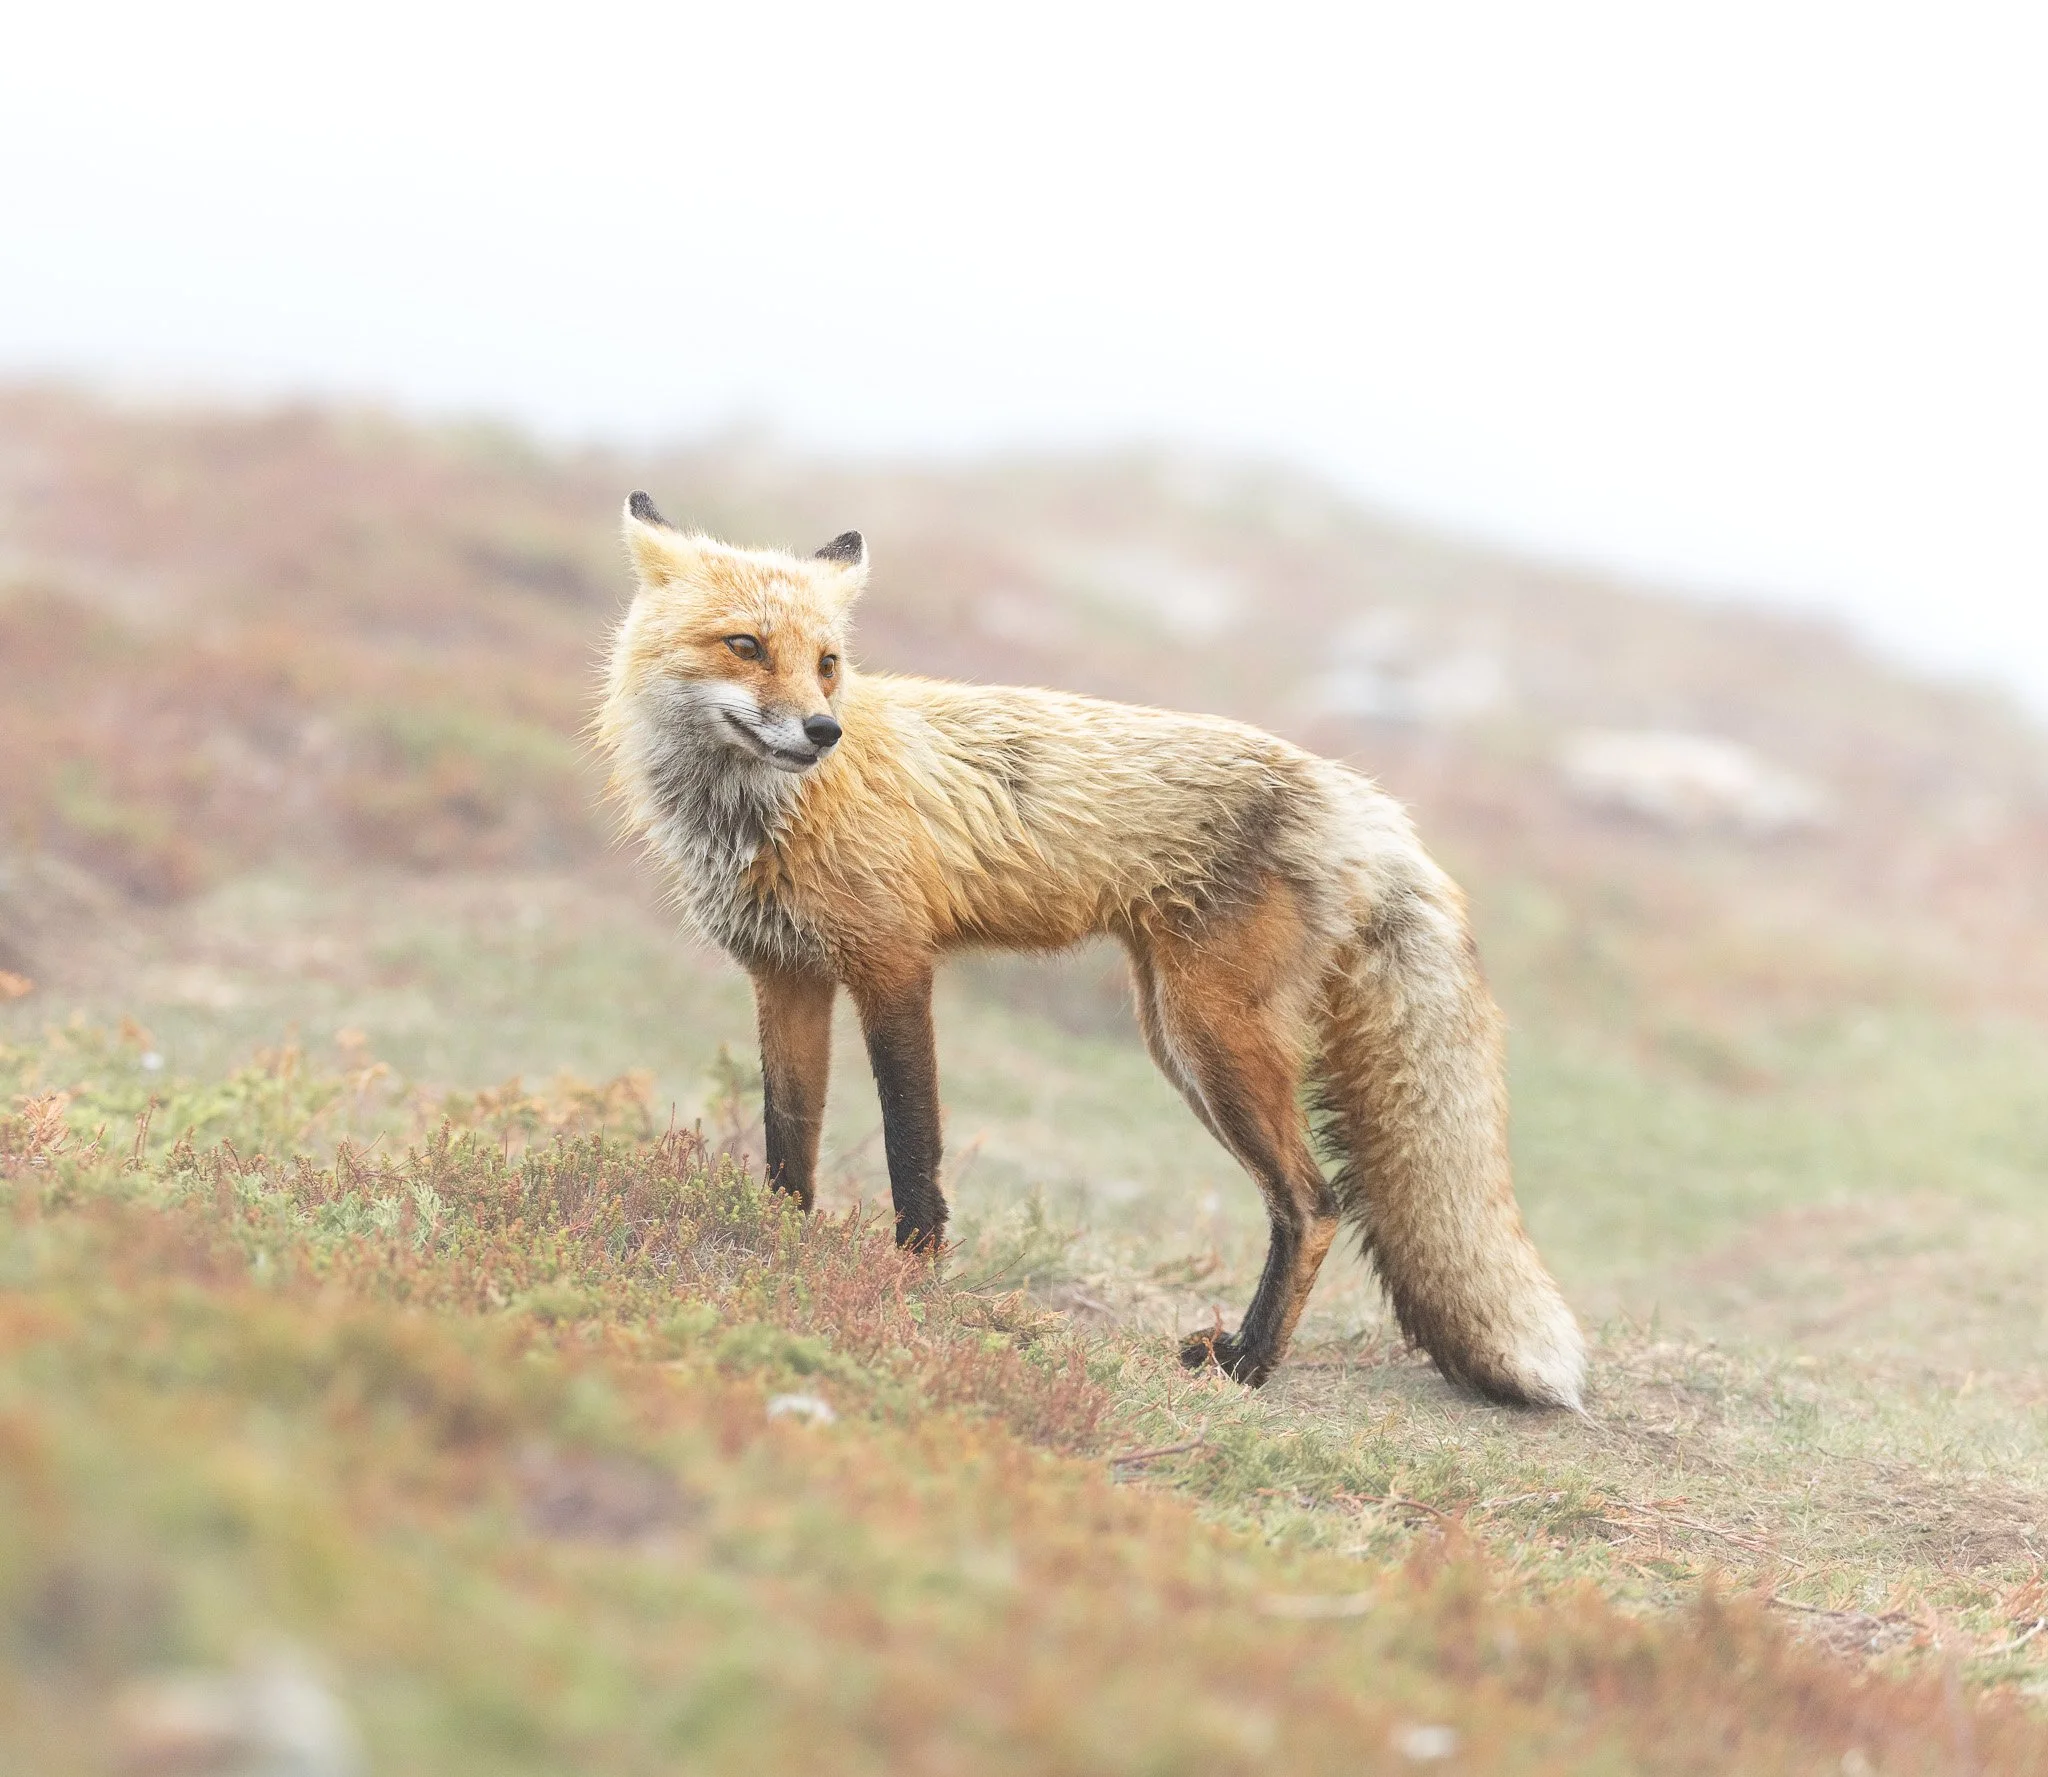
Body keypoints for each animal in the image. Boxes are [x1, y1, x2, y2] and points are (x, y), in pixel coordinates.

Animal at [597, 494, 1585, 1408]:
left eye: (828, 664)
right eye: (747, 646)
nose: (820, 731)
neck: (760, 817)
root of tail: (1368, 803)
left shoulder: (894, 965)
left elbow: (912, 1146)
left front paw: (910, 1276)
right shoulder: (786, 974)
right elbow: (786, 1141)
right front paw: (780, 1251)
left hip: (1211, 1039)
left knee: (1313, 1203)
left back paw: (1247, 1365)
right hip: (1178, 1039)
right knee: (1305, 1202)